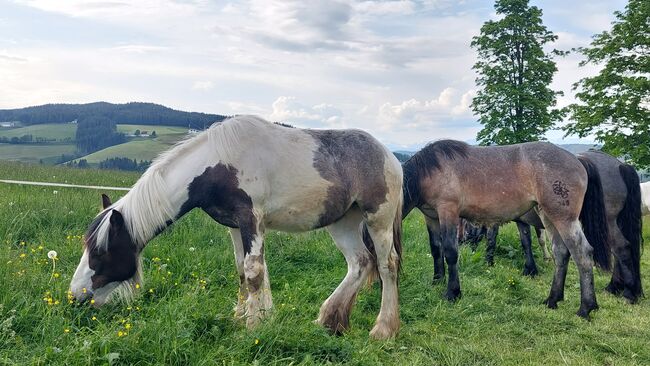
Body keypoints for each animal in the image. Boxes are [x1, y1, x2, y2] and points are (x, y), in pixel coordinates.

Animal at [69, 116, 400, 340]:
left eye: (100, 253)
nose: (75, 296)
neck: (218, 164)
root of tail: (390, 155)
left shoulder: (251, 219)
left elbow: (254, 272)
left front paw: (253, 326)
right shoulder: (234, 226)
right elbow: (241, 270)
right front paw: (241, 318)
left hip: (378, 221)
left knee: (387, 266)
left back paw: (382, 330)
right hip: (343, 222)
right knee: (360, 263)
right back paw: (329, 320)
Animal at [402, 140, 612, 318]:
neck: (429, 172)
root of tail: (577, 159)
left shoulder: (448, 212)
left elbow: (450, 253)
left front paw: (452, 293)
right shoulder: (431, 217)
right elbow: (436, 250)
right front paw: (436, 281)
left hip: (565, 219)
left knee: (582, 254)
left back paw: (586, 307)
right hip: (550, 218)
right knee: (560, 253)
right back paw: (552, 299)